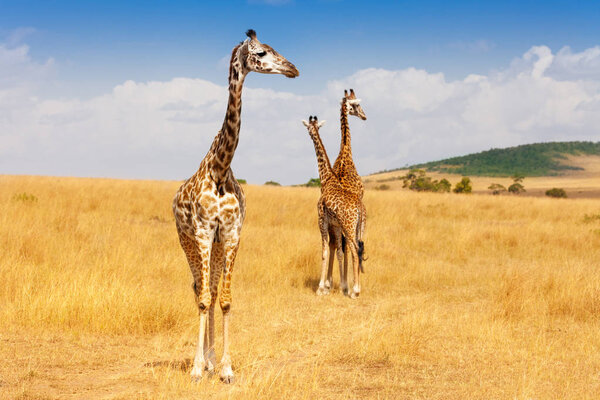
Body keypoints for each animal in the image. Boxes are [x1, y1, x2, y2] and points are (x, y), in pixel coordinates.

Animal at [171, 29, 298, 382]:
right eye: (261, 52)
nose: (293, 69)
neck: (219, 167)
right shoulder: (203, 233)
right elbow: (203, 299)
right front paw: (196, 369)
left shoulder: (230, 234)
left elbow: (225, 300)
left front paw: (225, 368)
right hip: (187, 241)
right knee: (198, 289)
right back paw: (203, 362)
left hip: (214, 246)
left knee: (212, 292)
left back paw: (212, 361)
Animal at [302, 116, 364, 300]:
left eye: (308, 127)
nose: (310, 132)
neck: (327, 177)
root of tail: (360, 208)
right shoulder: (335, 224)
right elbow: (337, 250)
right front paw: (341, 287)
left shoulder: (321, 219)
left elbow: (324, 251)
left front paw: (321, 288)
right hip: (357, 227)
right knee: (357, 249)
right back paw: (355, 288)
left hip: (349, 227)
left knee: (355, 250)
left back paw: (355, 291)